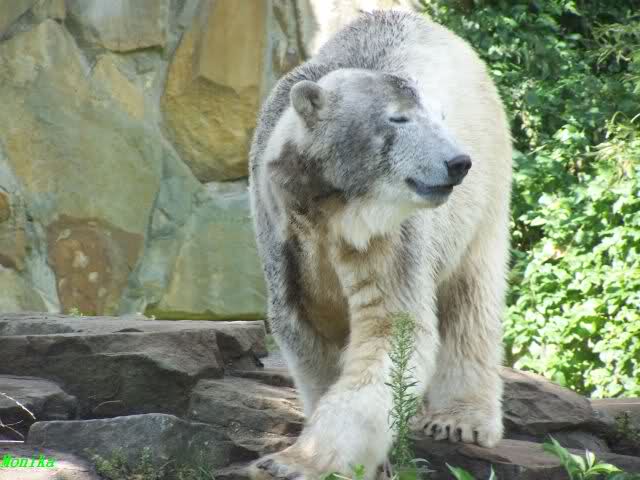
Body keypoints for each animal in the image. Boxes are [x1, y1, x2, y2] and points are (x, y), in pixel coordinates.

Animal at [248, 9, 512, 480]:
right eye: (399, 119)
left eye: (440, 117)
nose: (457, 162)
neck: (333, 207)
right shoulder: (284, 235)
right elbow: (309, 336)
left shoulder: (388, 235)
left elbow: (391, 329)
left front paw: (294, 462)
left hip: (487, 188)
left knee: (471, 295)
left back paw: (459, 419)